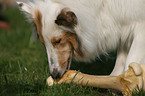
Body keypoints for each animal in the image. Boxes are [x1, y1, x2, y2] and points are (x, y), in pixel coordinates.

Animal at [17, 0, 145, 79]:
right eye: (43, 44)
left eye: (58, 41)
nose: (54, 75)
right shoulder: (123, 25)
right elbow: (121, 57)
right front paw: (116, 79)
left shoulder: (140, 27)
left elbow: (131, 59)